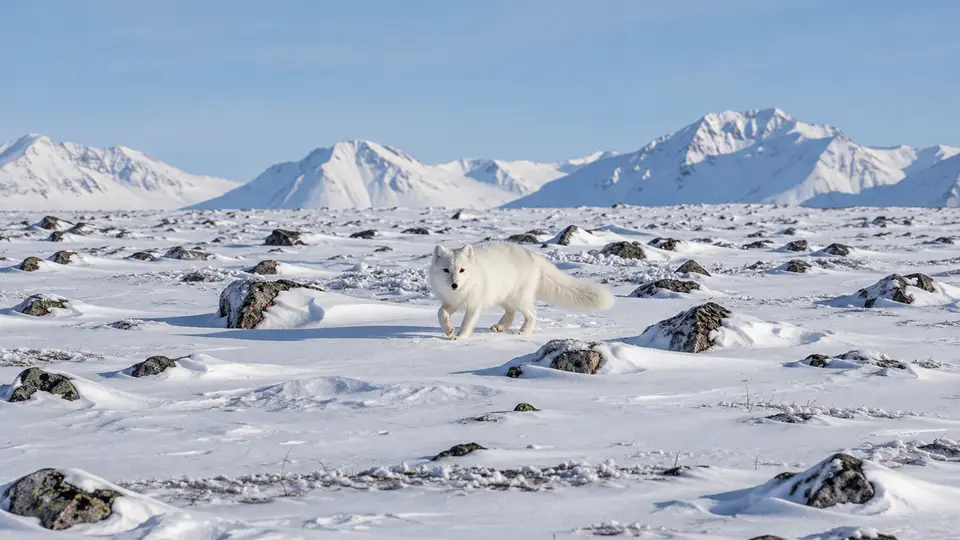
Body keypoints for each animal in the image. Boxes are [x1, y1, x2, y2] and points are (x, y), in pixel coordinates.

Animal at [429, 243, 614, 339]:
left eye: (462, 270)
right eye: (446, 270)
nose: (454, 285)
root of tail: (532, 255)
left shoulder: (474, 305)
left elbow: (467, 323)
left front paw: (460, 337)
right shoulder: (452, 302)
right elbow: (440, 313)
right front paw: (449, 329)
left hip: (519, 299)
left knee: (532, 315)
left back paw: (523, 332)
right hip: (505, 297)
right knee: (511, 314)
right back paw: (499, 327)